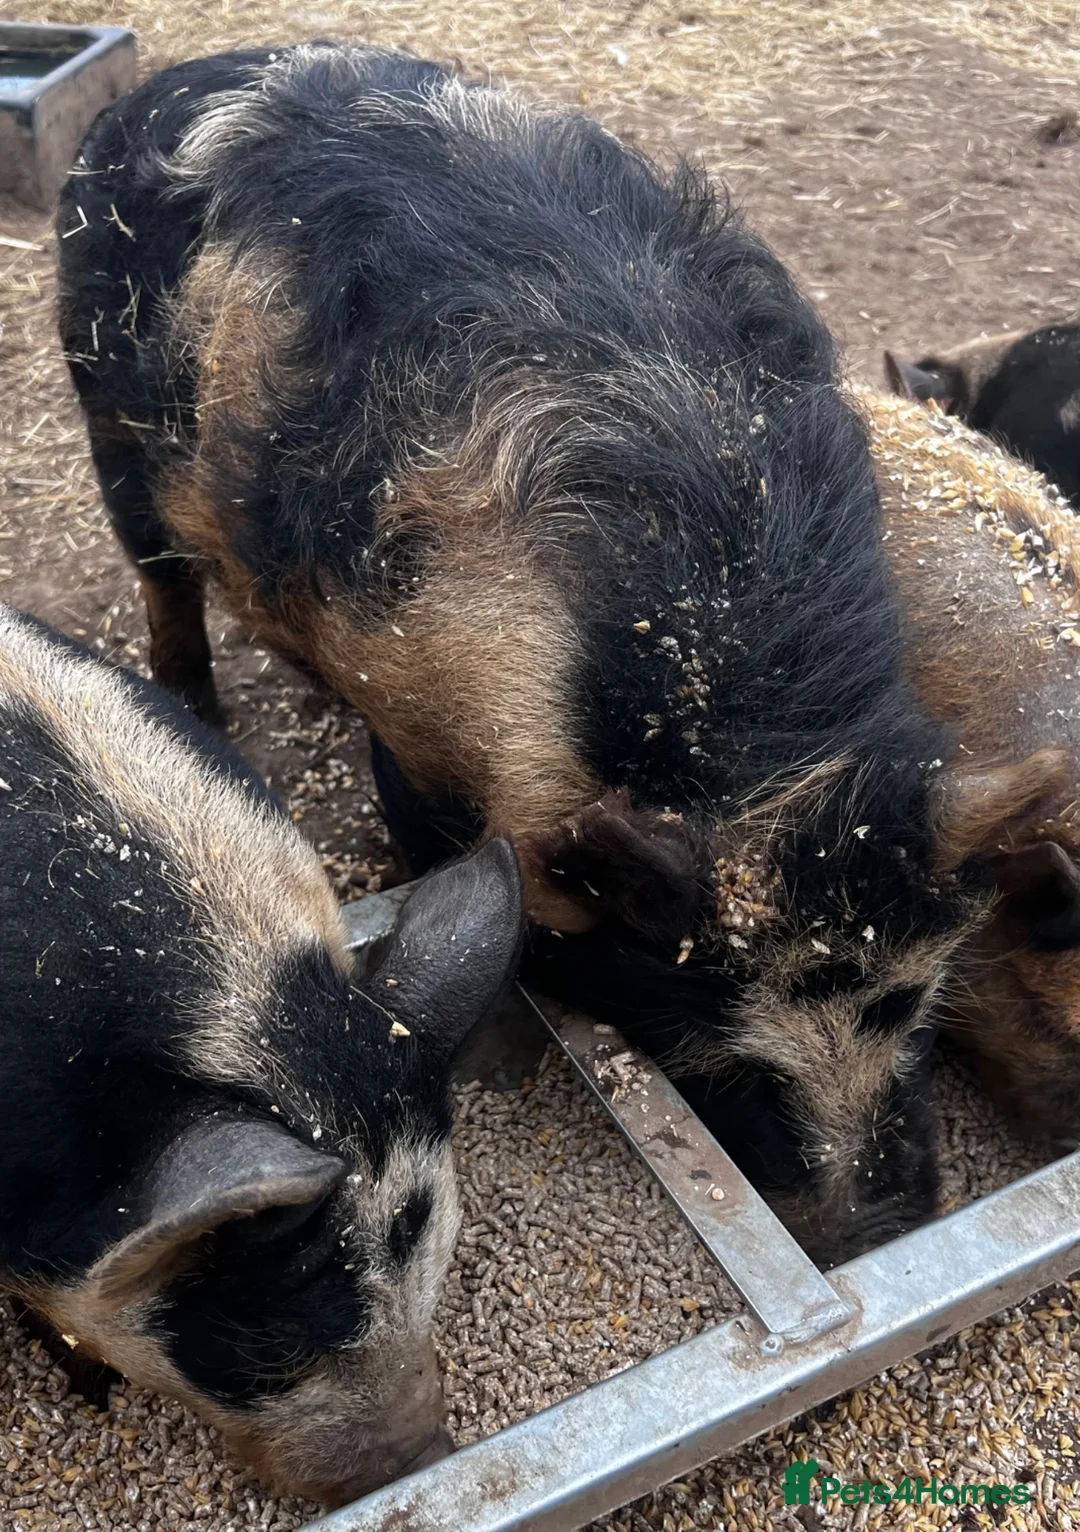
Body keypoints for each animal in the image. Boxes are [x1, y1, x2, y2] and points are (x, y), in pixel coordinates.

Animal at [55, 43, 1051, 1265]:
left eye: (915, 1004)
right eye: (717, 1040)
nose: (882, 1225)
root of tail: (166, 83)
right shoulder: (415, 739)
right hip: (107, 418)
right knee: (161, 578)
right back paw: (198, 704)